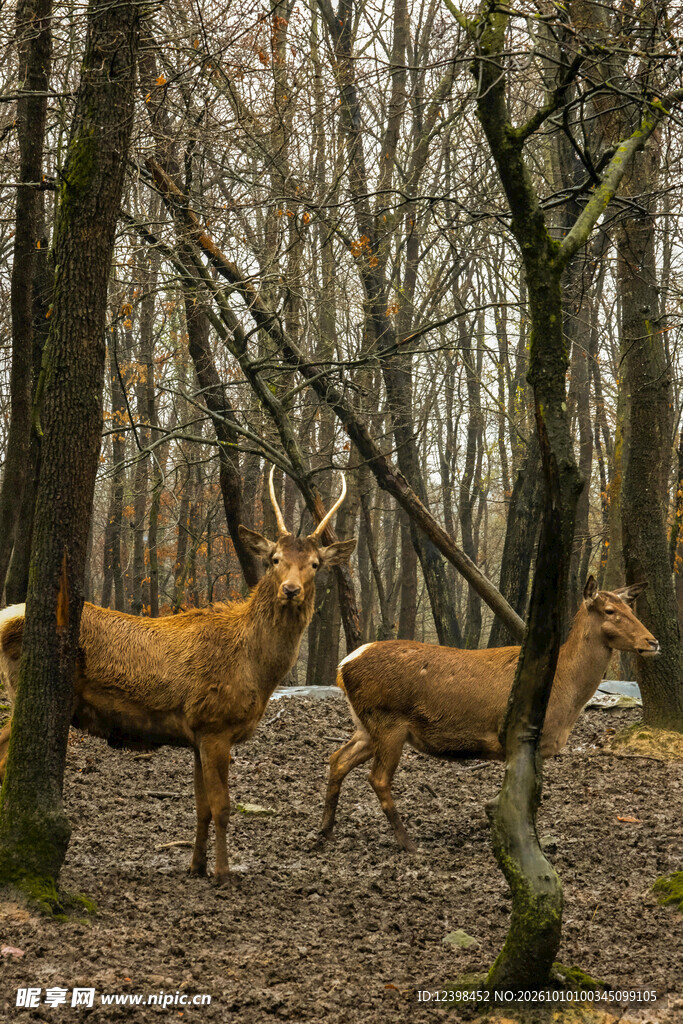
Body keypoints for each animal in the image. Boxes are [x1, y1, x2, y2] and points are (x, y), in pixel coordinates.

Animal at [0, 469, 356, 885]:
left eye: (315, 563)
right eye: (274, 559)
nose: (291, 590)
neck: (256, 669)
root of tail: (8, 616)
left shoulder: (197, 732)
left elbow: (201, 806)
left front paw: (196, 866)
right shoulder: (215, 724)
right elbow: (222, 806)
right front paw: (223, 873)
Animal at [320, 577, 659, 853]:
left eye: (631, 608)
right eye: (610, 611)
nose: (653, 641)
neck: (566, 693)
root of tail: (342, 666)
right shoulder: (529, 739)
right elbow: (531, 797)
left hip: (366, 725)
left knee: (337, 759)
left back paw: (325, 832)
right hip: (388, 722)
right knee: (377, 778)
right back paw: (408, 843)